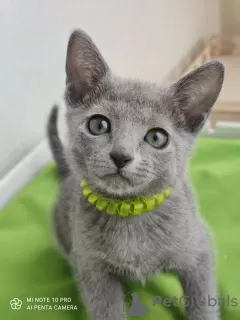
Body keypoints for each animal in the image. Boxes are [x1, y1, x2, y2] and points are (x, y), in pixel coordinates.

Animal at [47, 30, 225, 320]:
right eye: (98, 124)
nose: (120, 155)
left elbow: (203, 301)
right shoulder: (92, 270)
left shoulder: (200, 249)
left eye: (156, 137)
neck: (129, 214)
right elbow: (106, 310)